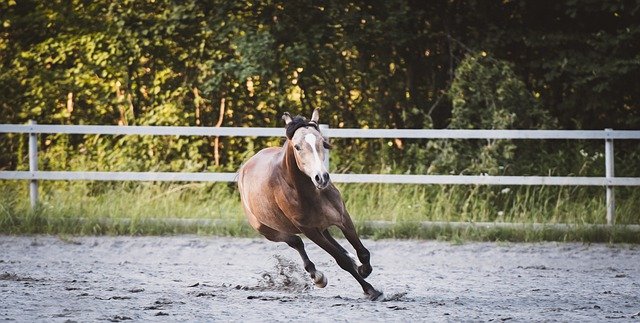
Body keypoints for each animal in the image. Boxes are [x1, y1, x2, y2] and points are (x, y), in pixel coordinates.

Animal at [238, 110, 382, 302]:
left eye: (323, 143)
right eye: (297, 147)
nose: (321, 178)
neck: (310, 193)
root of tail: (244, 168)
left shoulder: (343, 218)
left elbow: (362, 251)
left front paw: (364, 268)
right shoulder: (309, 231)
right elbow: (341, 261)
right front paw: (370, 290)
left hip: (320, 226)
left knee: (330, 242)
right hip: (269, 231)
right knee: (296, 242)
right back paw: (317, 276)